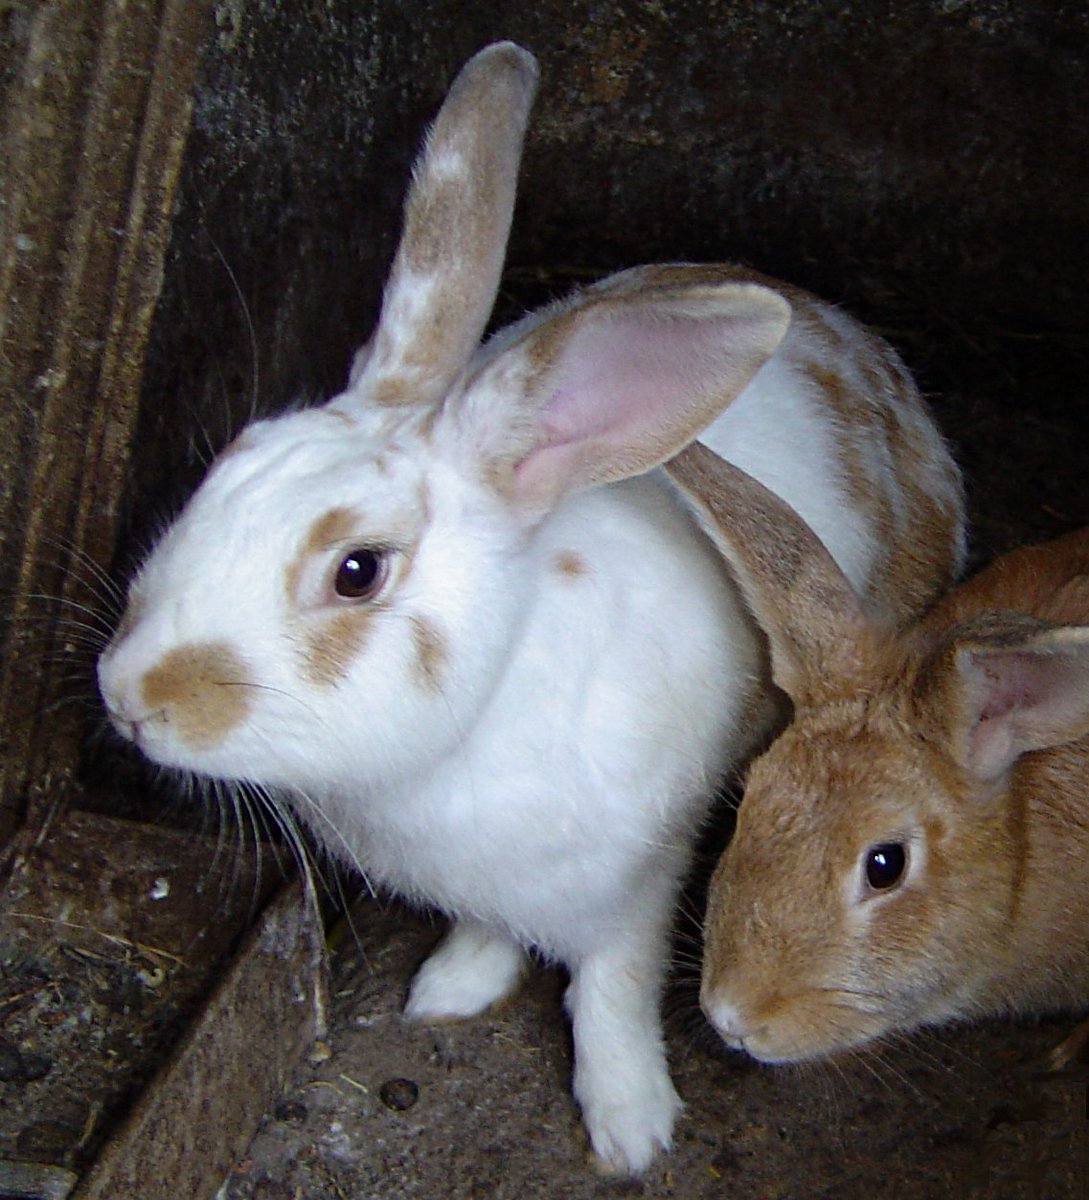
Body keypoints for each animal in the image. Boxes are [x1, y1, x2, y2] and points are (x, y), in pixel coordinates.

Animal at [95, 42, 967, 1172]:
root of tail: (854, 338)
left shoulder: (635, 880)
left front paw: (631, 1124)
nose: (128, 697)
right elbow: (487, 929)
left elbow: (610, 989)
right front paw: (452, 987)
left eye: (357, 570)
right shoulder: (486, 884)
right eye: (227, 468)